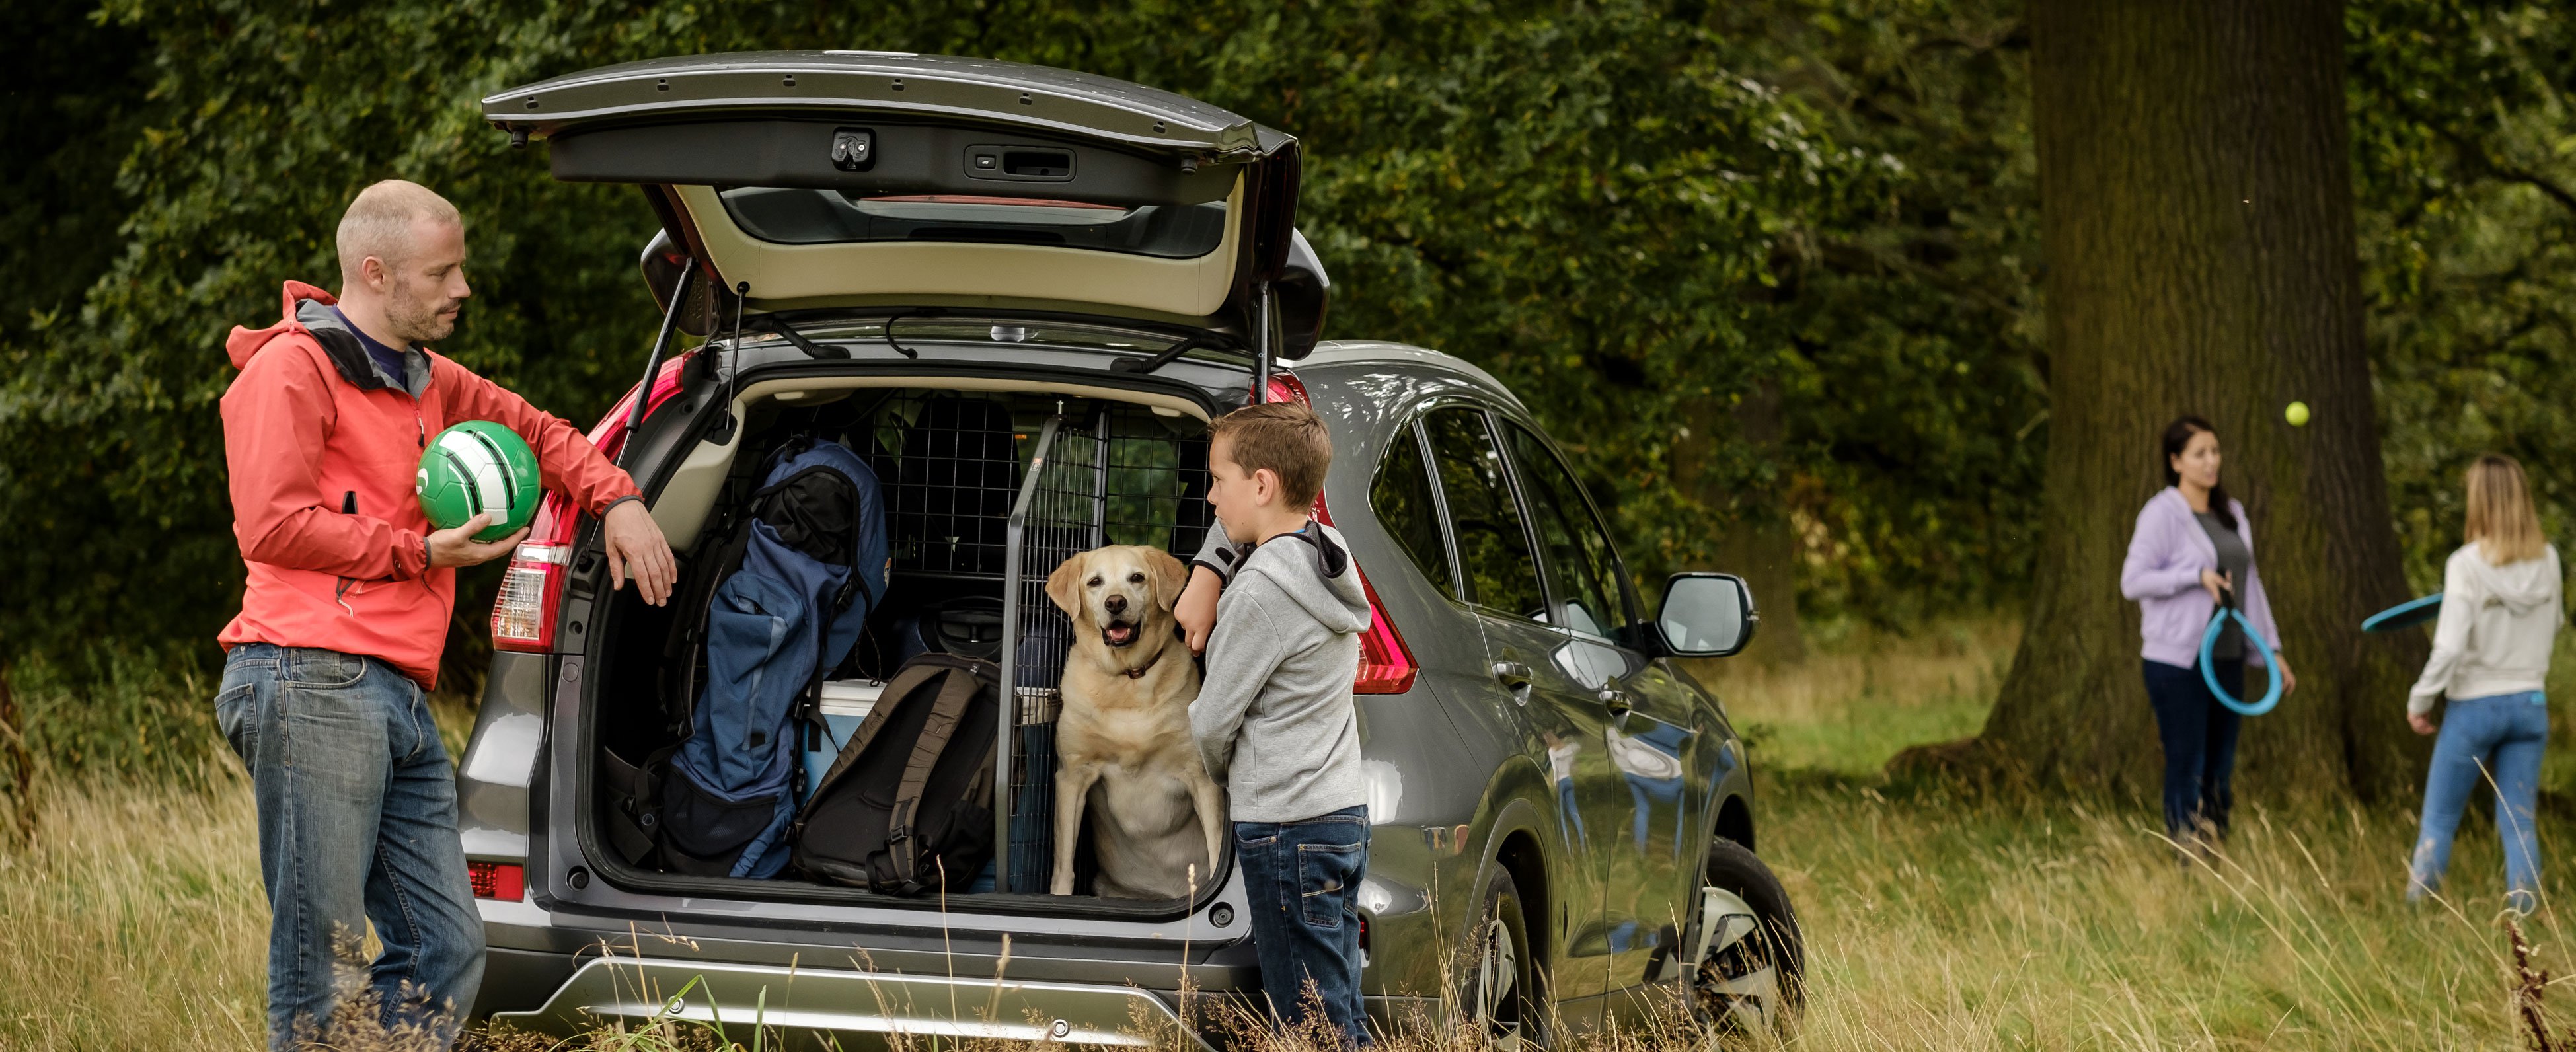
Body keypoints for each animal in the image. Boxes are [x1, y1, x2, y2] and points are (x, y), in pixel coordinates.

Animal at [1051, 541, 1231, 897]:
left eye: (1137, 578)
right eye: (1095, 582)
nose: (1115, 603)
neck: (1128, 679)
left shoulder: (1201, 777)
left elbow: (1217, 846)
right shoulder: (1072, 775)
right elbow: (1064, 864)